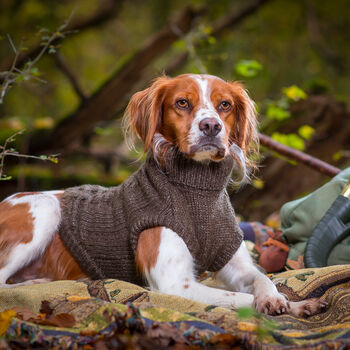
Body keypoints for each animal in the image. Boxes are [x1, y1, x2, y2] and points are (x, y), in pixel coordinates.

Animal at [0, 74, 326, 318]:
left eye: (225, 105)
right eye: (182, 102)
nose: (211, 126)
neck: (195, 190)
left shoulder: (236, 264)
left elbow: (264, 279)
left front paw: (289, 302)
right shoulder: (176, 286)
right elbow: (236, 298)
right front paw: (280, 305)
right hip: (45, 208)